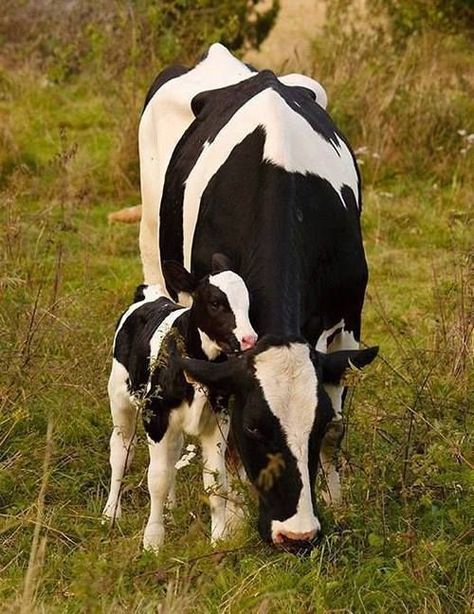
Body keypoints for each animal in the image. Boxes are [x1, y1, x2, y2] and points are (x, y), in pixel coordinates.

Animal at [103, 256, 258, 552]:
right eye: (215, 303)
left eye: (247, 301)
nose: (249, 340)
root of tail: (149, 296)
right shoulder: (155, 416)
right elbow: (157, 479)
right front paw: (152, 541)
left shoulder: (217, 419)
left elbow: (215, 481)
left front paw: (218, 537)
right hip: (120, 400)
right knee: (121, 452)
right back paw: (110, 514)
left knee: (172, 453)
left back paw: (170, 510)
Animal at [137, 43, 378, 552]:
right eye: (254, 426)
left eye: (314, 425)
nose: (296, 535)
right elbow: (223, 442)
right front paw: (232, 520)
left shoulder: (347, 320)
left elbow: (340, 427)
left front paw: (337, 502)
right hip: (151, 241)